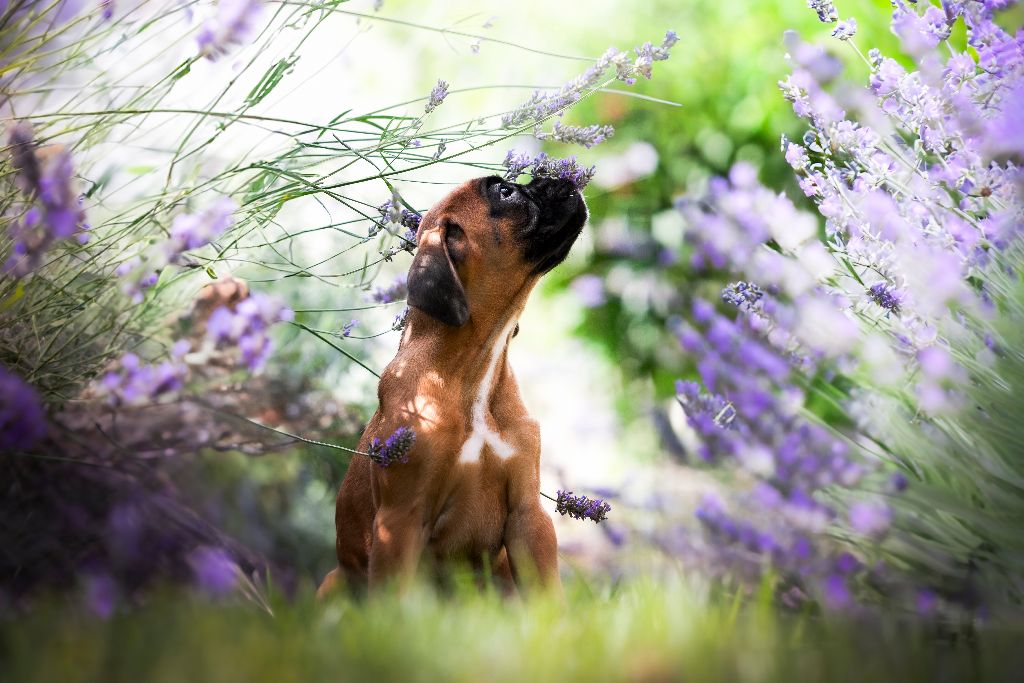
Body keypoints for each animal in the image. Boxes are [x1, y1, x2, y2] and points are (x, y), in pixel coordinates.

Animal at [319, 176, 589, 598]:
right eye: (505, 193)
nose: (563, 178)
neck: (472, 373)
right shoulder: (400, 521)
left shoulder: (530, 517)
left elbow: (548, 596)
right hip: (335, 582)